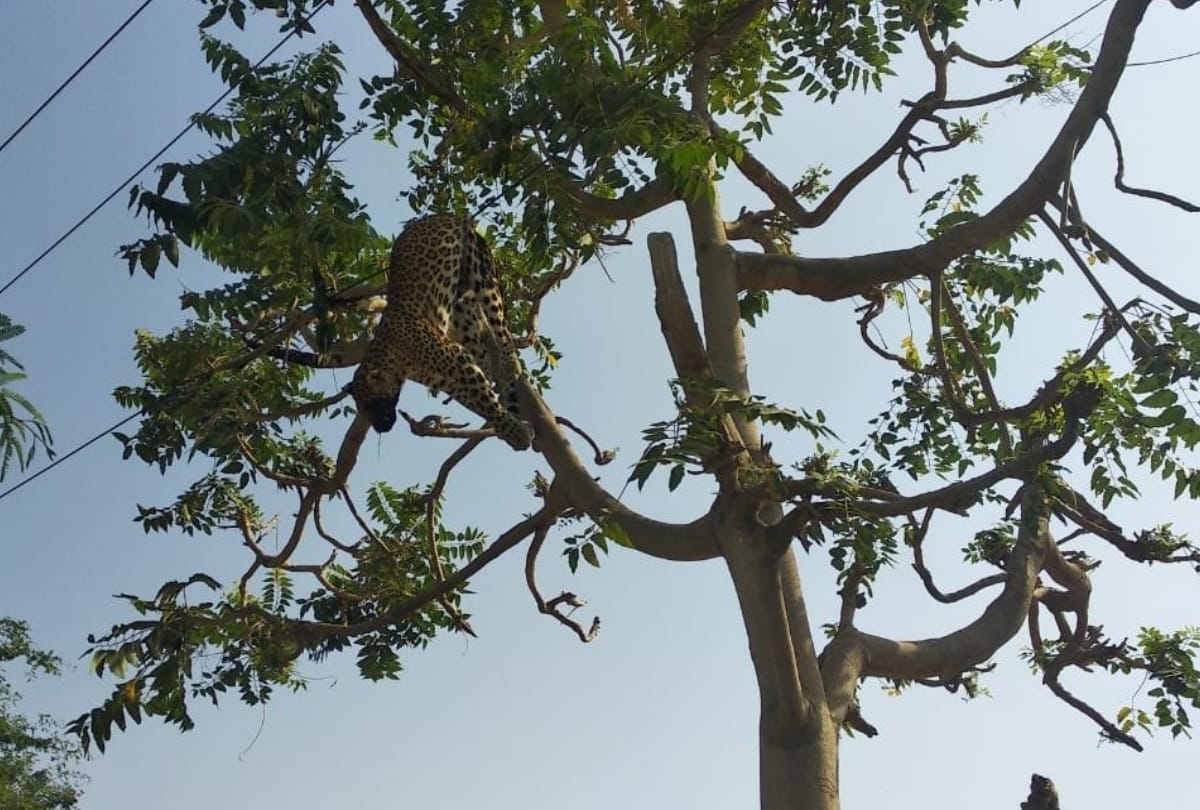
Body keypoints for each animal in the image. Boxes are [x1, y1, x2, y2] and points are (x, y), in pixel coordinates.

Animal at [350, 214, 532, 451]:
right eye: (363, 409)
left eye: (374, 404)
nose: (381, 429)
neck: (394, 362)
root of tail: (448, 215)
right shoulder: (447, 379)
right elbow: (479, 403)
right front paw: (512, 430)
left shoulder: (458, 362)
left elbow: (486, 403)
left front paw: (517, 433)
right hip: (462, 307)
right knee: (481, 351)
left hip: (480, 272)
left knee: (500, 324)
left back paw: (511, 365)